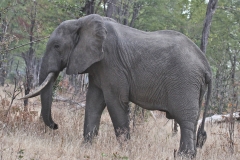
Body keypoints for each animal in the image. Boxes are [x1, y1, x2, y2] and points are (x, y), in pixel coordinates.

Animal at [21, 14, 212, 158]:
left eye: (57, 46)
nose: (56, 126)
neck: (81, 22)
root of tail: (206, 64)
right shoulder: (99, 67)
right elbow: (94, 102)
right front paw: (86, 147)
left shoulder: (111, 63)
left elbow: (115, 102)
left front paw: (125, 151)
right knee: (191, 119)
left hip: (185, 82)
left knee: (185, 120)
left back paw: (183, 156)